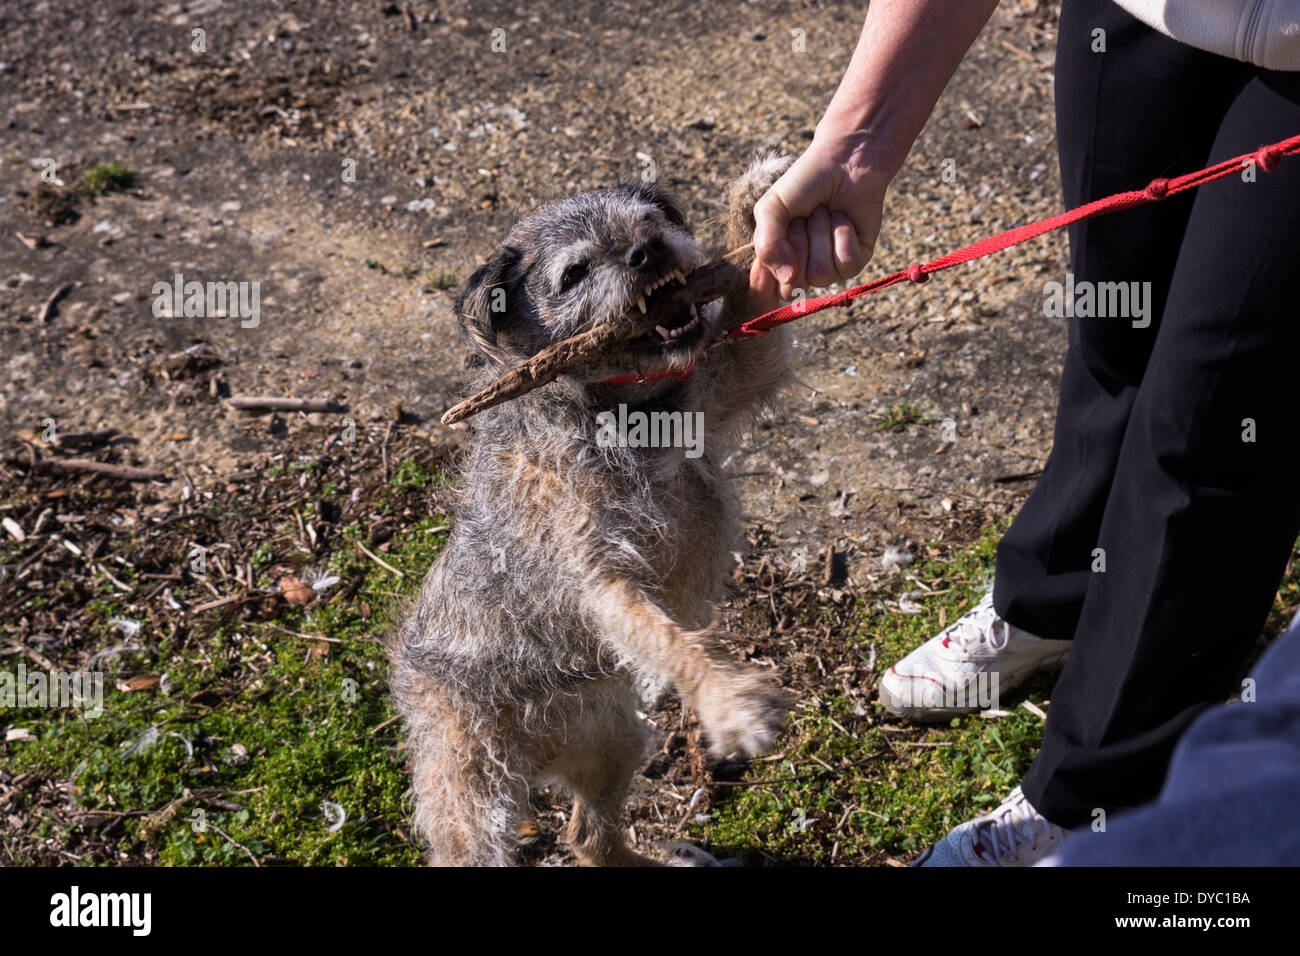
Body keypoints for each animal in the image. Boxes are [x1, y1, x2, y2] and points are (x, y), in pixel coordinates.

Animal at [384, 151, 790, 868]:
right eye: (574, 274)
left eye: (651, 220)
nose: (647, 251)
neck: (622, 409)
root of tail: (535, 761)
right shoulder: (602, 576)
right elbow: (668, 637)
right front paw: (730, 702)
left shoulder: (733, 380)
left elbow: (757, 313)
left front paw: (753, 202)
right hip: (469, 794)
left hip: (612, 741)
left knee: (590, 837)